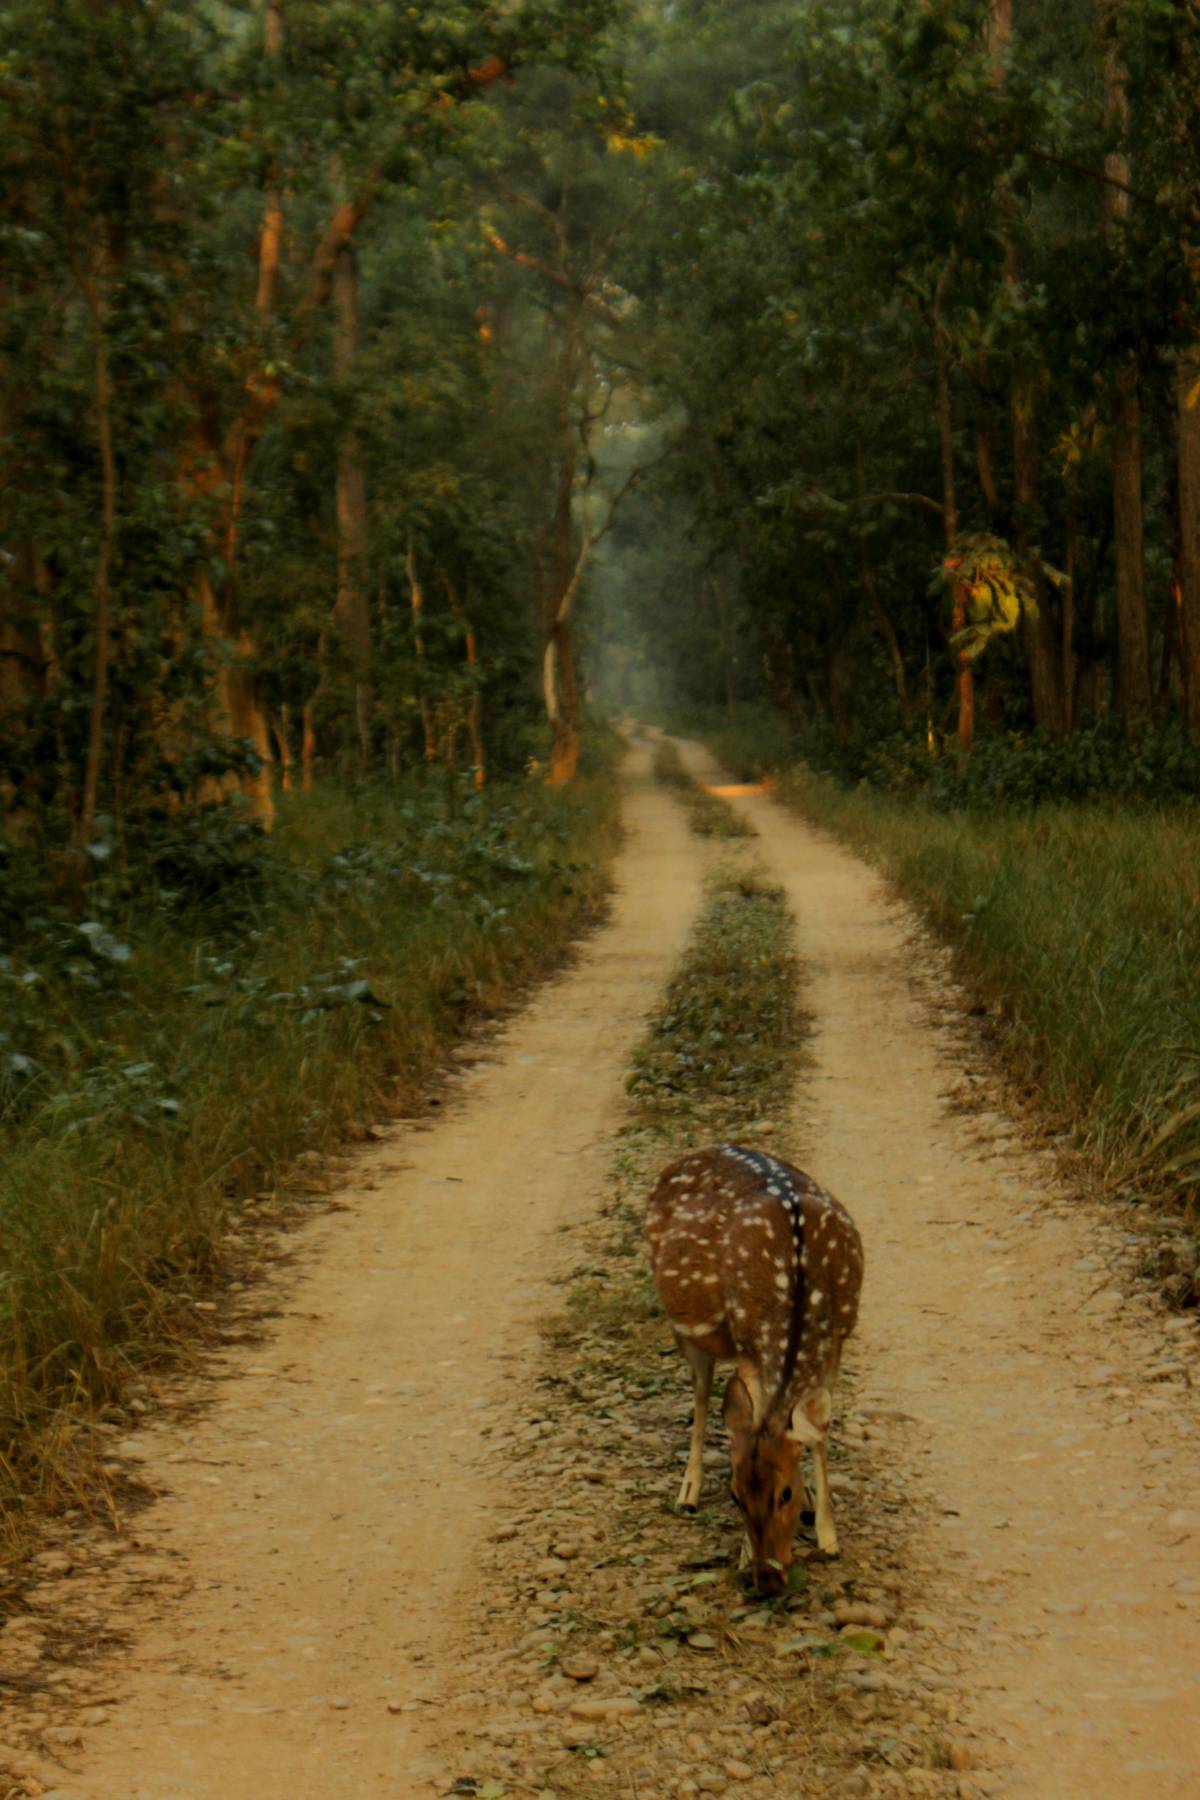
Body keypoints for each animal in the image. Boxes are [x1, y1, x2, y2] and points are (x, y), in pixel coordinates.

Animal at [644, 1143, 864, 1594]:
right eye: (734, 1496)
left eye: (785, 1493)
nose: (767, 1578)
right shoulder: (749, 1346)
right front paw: (746, 1552)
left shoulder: (837, 1342)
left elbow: (818, 1431)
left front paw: (828, 1535)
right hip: (685, 1328)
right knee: (700, 1395)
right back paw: (687, 1493)